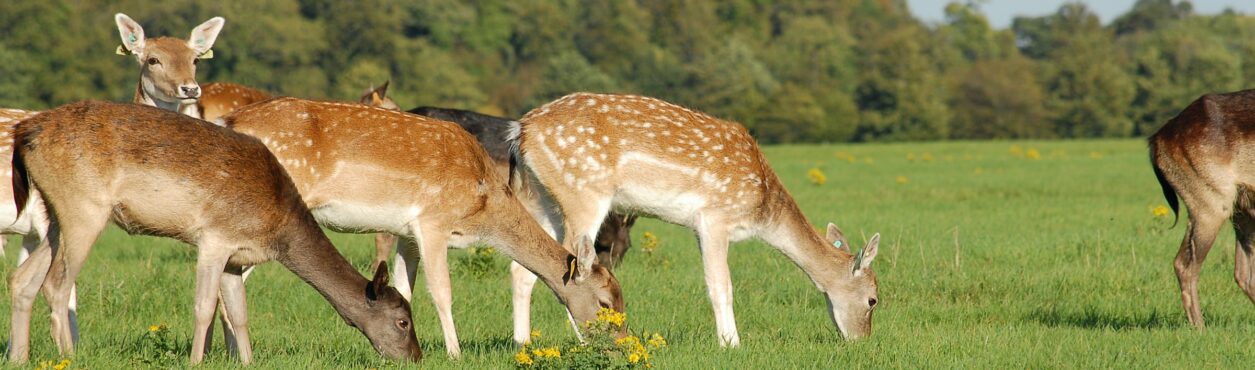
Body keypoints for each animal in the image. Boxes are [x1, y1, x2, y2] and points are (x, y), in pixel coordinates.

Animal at [3, 101, 426, 366]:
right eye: (403, 321)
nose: (416, 357)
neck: (276, 227)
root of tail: (26, 131)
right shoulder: (214, 238)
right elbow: (205, 306)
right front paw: (195, 360)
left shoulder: (236, 258)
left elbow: (239, 312)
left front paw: (248, 361)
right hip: (84, 208)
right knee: (57, 284)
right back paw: (68, 356)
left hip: (54, 214)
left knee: (23, 278)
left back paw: (20, 357)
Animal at [225, 97, 627, 358]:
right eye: (606, 303)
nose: (620, 345)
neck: (483, 205)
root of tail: (231, 121)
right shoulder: (433, 222)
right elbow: (442, 291)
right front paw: (455, 353)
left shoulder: (407, 233)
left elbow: (404, 288)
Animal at [509, 92, 883, 346]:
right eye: (873, 300)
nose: (861, 341)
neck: (761, 211)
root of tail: (520, 132)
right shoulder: (715, 217)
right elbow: (721, 285)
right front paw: (732, 344)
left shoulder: (700, 227)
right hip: (583, 192)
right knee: (574, 270)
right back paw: (588, 341)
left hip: (541, 197)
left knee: (525, 268)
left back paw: (522, 342)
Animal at [1149, 89, 1255, 328]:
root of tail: (1157, 140)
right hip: (1211, 203)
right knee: (1184, 264)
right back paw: (1200, 327)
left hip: (1241, 209)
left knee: (1243, 273)